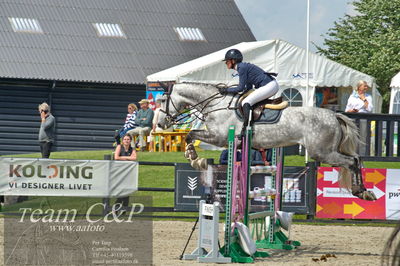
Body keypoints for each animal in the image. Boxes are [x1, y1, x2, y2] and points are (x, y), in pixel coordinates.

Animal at [158, 82, 376, 201]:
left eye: (162, 101)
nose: (160, 123)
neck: (215, 104)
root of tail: (334, 116)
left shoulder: (219, 137)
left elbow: (190, 135)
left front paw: (195, 159)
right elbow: (191, 135)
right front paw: (194, 157)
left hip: (322, 152)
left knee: (352, 162)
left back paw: (360, 192)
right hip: (329, 150)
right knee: (356, 159)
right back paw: (365, 192)